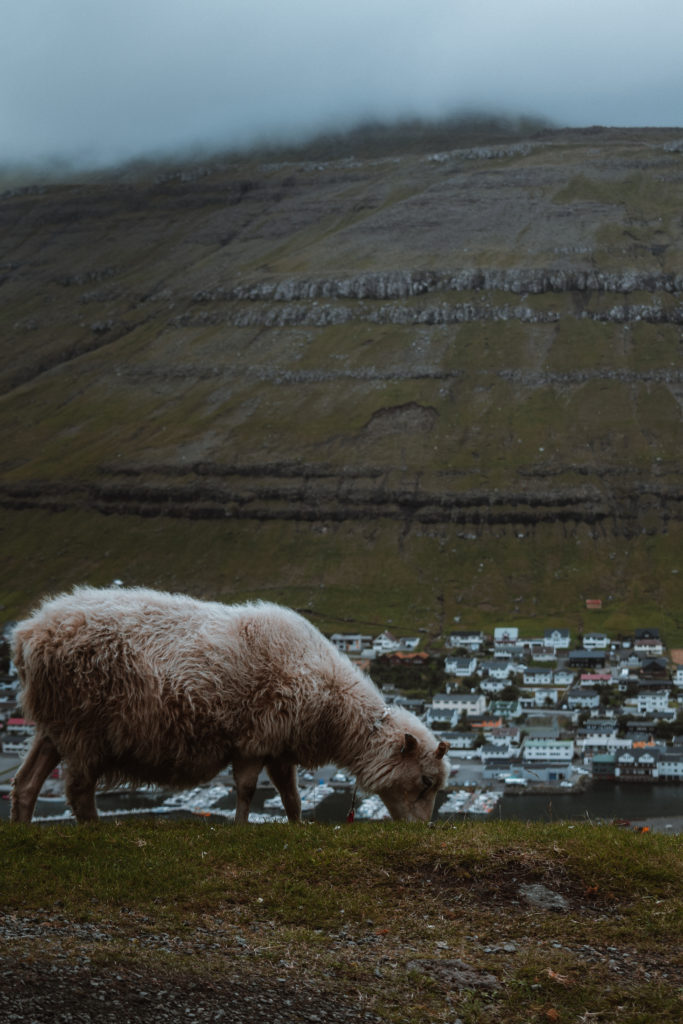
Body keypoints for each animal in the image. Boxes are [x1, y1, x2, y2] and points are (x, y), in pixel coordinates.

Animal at [10, 585, 450, 823]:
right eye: (426, 782)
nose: (420, 830)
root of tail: (28, 634)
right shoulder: (254, 739)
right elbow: (247, 790)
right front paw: (240, 826)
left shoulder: (279, 746)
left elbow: (291, 796)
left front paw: (297, 826)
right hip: (85, 728)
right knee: (79, 789)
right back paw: (95, 827)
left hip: (55, 726)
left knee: (26, 782)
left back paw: (22, 826)